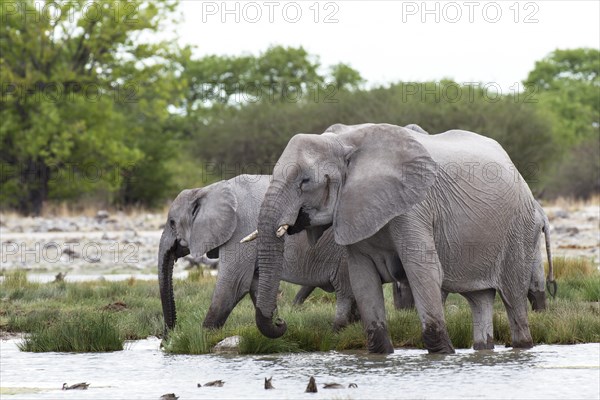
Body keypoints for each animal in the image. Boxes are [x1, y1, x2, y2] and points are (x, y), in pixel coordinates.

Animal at [157, 174, 358, 334]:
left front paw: (203, 337)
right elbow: (255, 283)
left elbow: (234, 284)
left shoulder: (240, 228)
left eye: (172, 223)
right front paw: (276, 324)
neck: (207, 190)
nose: (166, 338)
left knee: (345, 291)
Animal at [253, 122, 548, 354]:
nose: (281, 322)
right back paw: (483, 348)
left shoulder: (415, 206)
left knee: (512, 298)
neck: (343, 142)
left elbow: (423, 270)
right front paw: (381, 354)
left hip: (518, 230)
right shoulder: (353, 210)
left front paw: (442, 355)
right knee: (480, 298)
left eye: (304, 181)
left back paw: (522, 345)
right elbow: (362, 278)